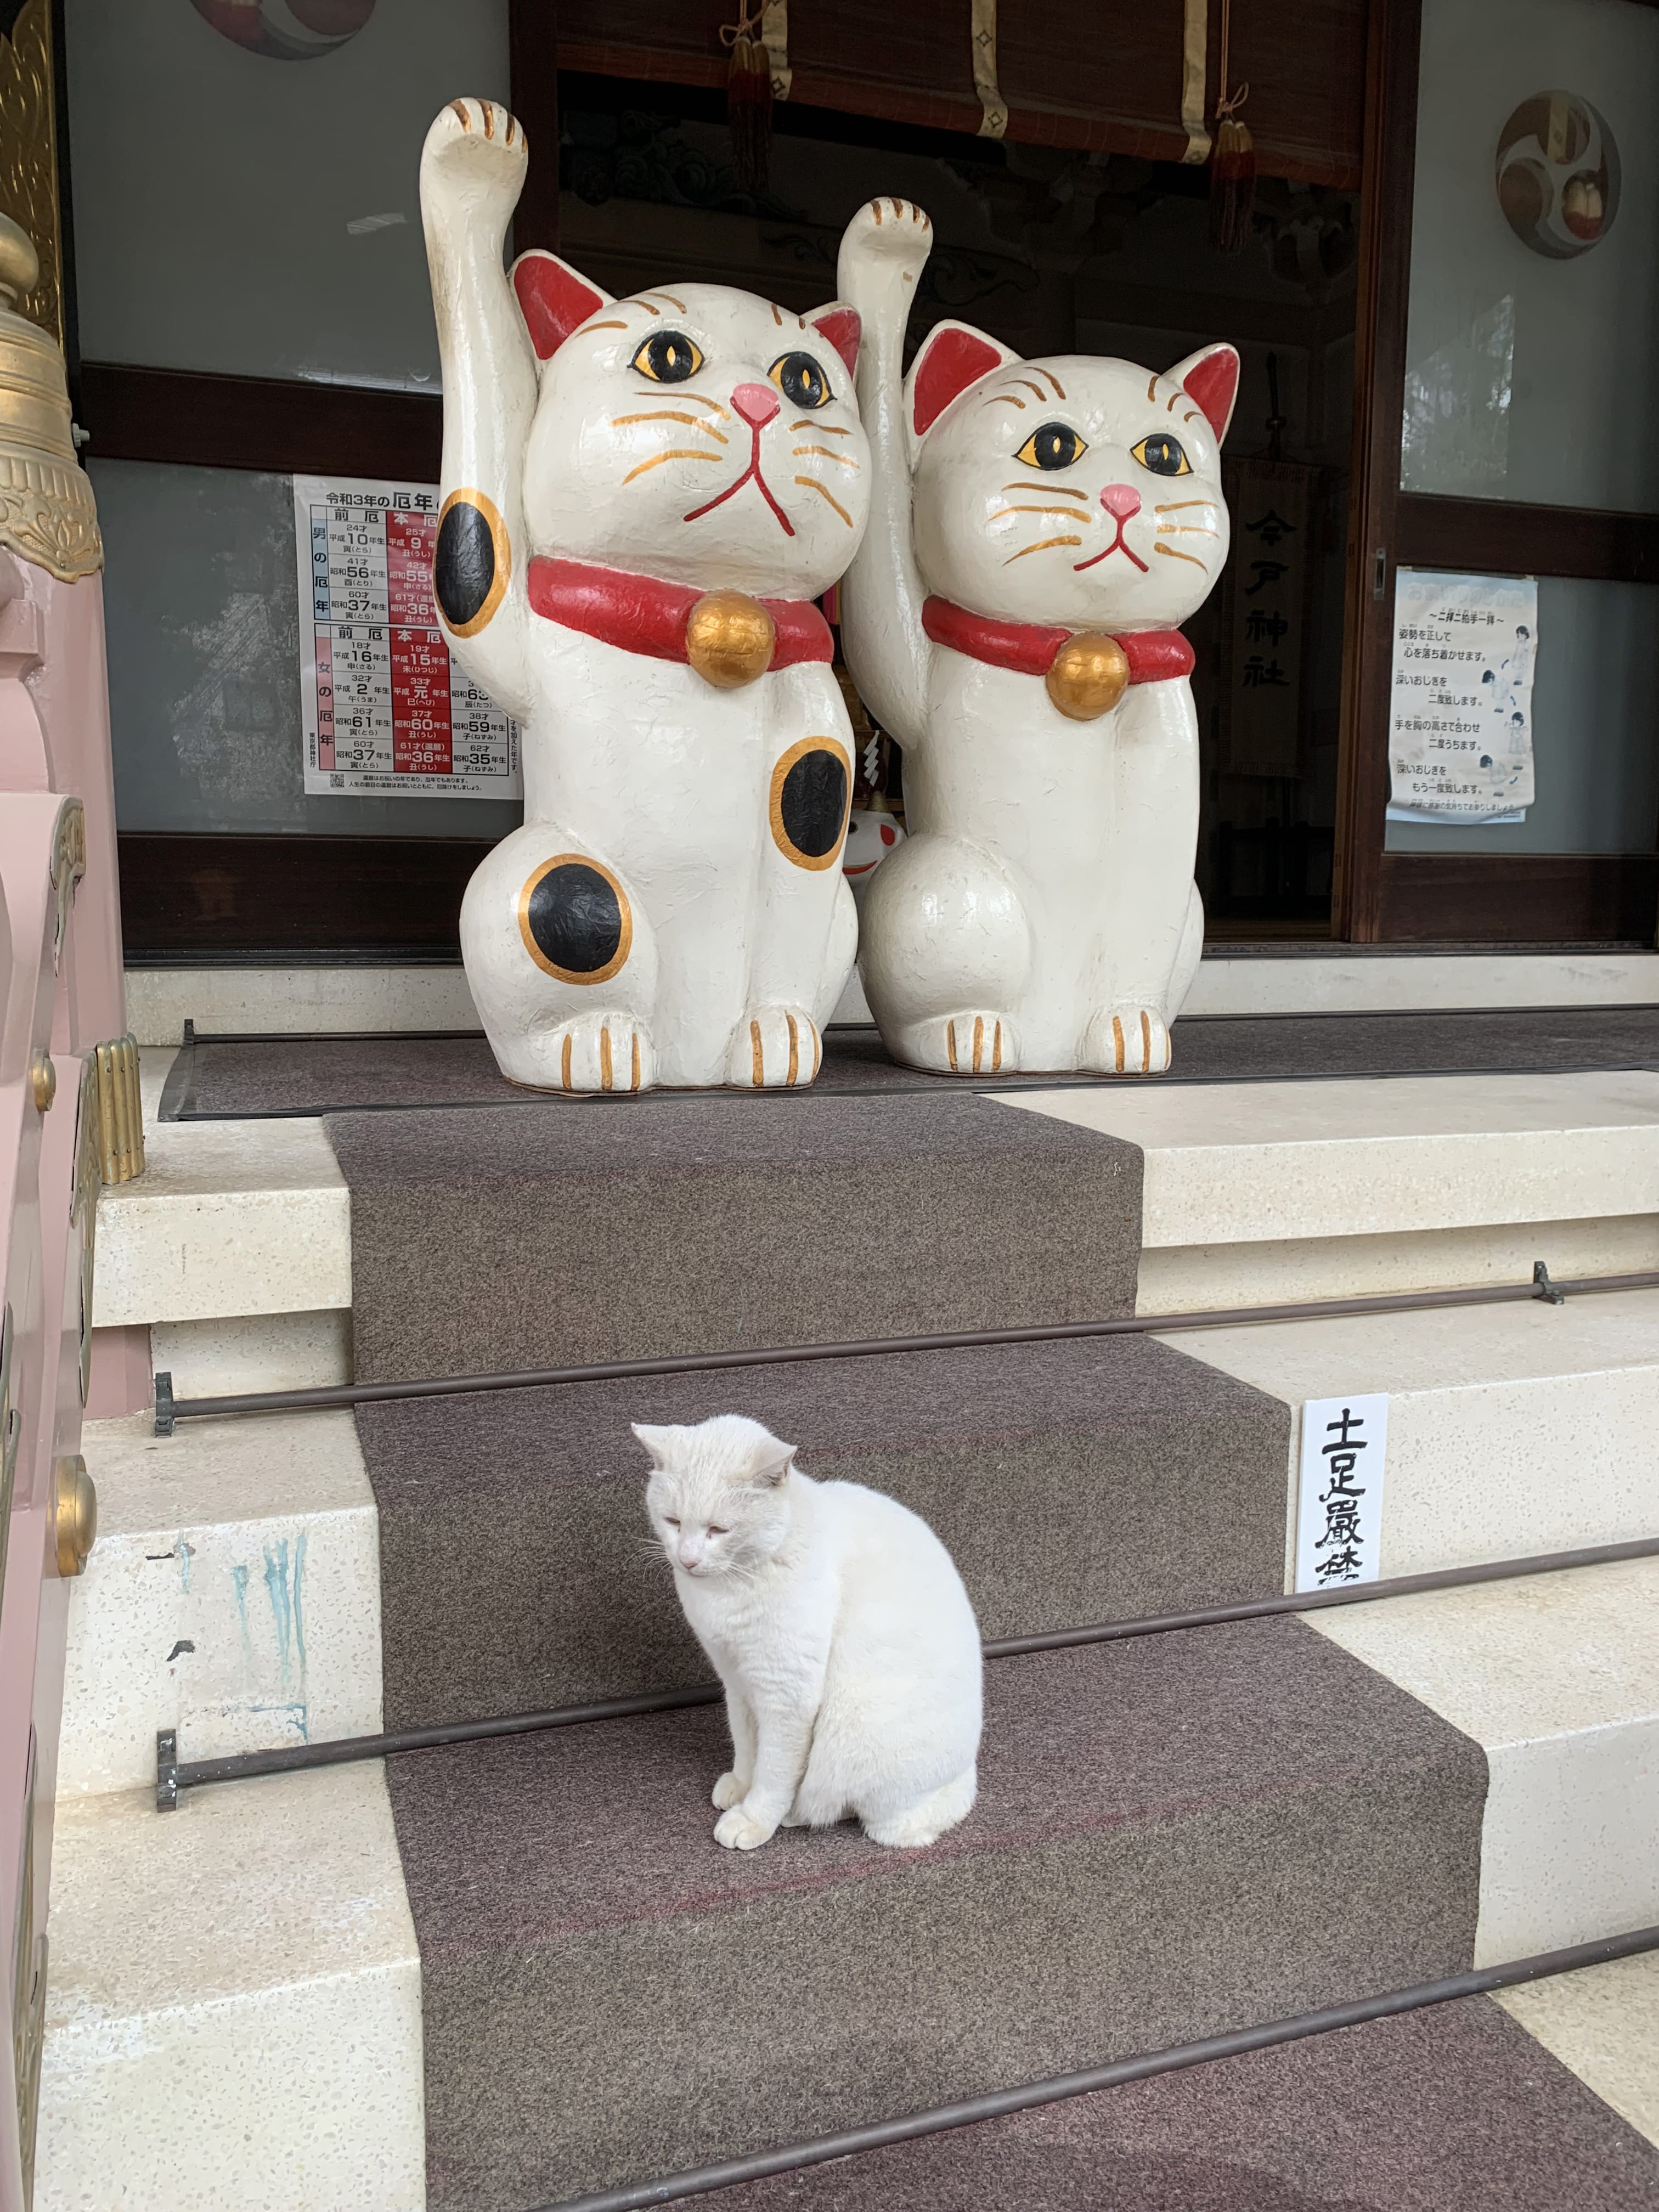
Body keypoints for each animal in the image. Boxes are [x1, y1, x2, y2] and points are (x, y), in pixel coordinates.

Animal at [422, 101, 876, 1088]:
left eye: (804, 379)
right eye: (668, 356)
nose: (756, 402)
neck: (707, 609)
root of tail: (685, 1067)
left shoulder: (814, 779)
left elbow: (794, 892)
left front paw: (777, 1043)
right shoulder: (518, 627)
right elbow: (473, 541)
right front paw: (474, 163)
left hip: (844, 919)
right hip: (544, 885)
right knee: (565, 904)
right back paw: (594, 1051)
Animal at [633, 1415, 973, 1849]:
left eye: (718, 1530)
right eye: (673, 1522)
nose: (687, 1559)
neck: (728, 1589)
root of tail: (965, 1780)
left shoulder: (786, 1693)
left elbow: (774, 1771)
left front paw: (754, 1818)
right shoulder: (737, 1680)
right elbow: (747, 1745)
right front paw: (741, 1786)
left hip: (856, 1738)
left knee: (856, 1809)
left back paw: (796, 1814)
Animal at [836, 194, 1238, 1075]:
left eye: (1164, 455)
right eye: (1054, 447)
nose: (1124, 496)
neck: (1084, 645)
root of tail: (1045, 1054)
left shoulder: (1165, 802)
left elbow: (1140, 926)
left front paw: (1130, 1037)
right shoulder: (923, 670)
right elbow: (879, 595)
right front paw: (889, 254)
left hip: (1191, 915)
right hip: (943, 898)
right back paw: (970, 1039)